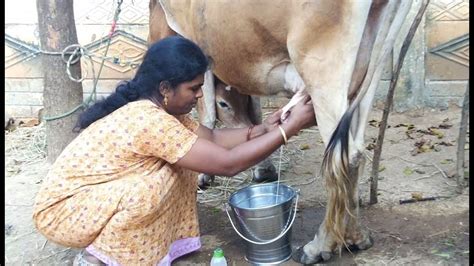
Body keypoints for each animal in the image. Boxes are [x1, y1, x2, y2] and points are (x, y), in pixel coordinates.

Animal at [148, 0, 412, 262]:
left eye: (225, 104)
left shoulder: (186, 37)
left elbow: (207, 113)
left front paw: (204, 175)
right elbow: (254, 115)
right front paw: (262, 168)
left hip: (323, 69)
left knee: (342, 159)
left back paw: (319, 246)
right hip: (369, 70)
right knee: (356, 153)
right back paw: (356, 236)